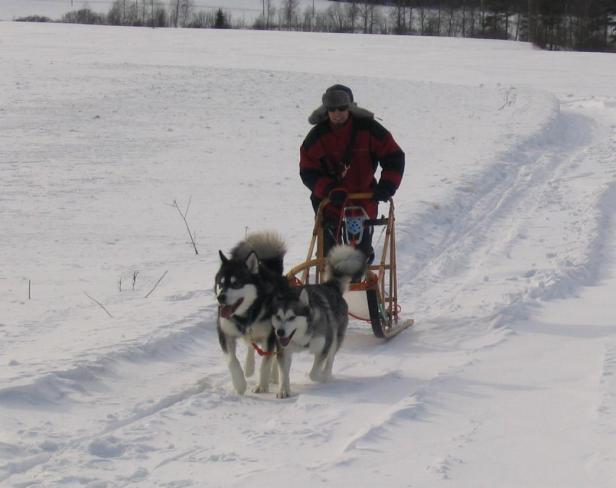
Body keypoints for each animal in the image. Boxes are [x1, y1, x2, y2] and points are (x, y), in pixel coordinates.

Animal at [215, 231, 288, 394]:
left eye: (235, 283)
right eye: (220, 283)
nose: (220, 297)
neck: (247, 314)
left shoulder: (270, 336)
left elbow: (266, 362)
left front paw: (262, 385)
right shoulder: (225, 333)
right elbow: (232, 360)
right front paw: (240, 384)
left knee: (274, 355)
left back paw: (274, 376)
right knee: (250, 345)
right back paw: (248, 367)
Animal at [270, 246, 366, 398]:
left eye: (292, 317)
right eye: (278, 317)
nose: (280, 332)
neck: (302, 338)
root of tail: (330, 286)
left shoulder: (324, 347)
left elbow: (313, 374)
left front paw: (321, 377)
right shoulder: (283, 351)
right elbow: (284, 373)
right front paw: (283, 390)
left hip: (335, 338)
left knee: (331, 359)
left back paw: (327, 376)